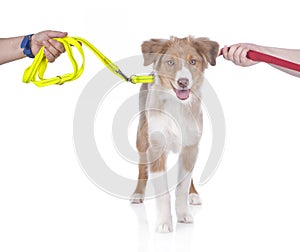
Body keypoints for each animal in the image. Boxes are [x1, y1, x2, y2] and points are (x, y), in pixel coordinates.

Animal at [131, 36, 218, 233]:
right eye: (170, 62)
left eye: (193, 61)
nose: (183, 82)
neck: (177, 105)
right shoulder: (156, 147)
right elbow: (162, 192)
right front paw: (164, 223)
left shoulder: (191, 146)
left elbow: (182, 187)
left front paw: (184, 214)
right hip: (142, 135)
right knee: (142, 166)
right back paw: (138, 193)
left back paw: (194, 195)